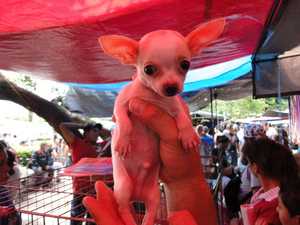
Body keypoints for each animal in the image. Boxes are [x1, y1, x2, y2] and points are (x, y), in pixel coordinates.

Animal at [99, 19, 225, 225]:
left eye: (185, 64)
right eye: (148, 69)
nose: (171, 87)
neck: (152, 96)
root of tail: (137, 195)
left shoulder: (176, 108)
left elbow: (183, 119)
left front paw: (189, 136)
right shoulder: (121, 106)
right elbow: (124, 121)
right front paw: (124, 141)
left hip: (154, 195)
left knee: (149, 212)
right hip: (123, 188)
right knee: (123, 209)